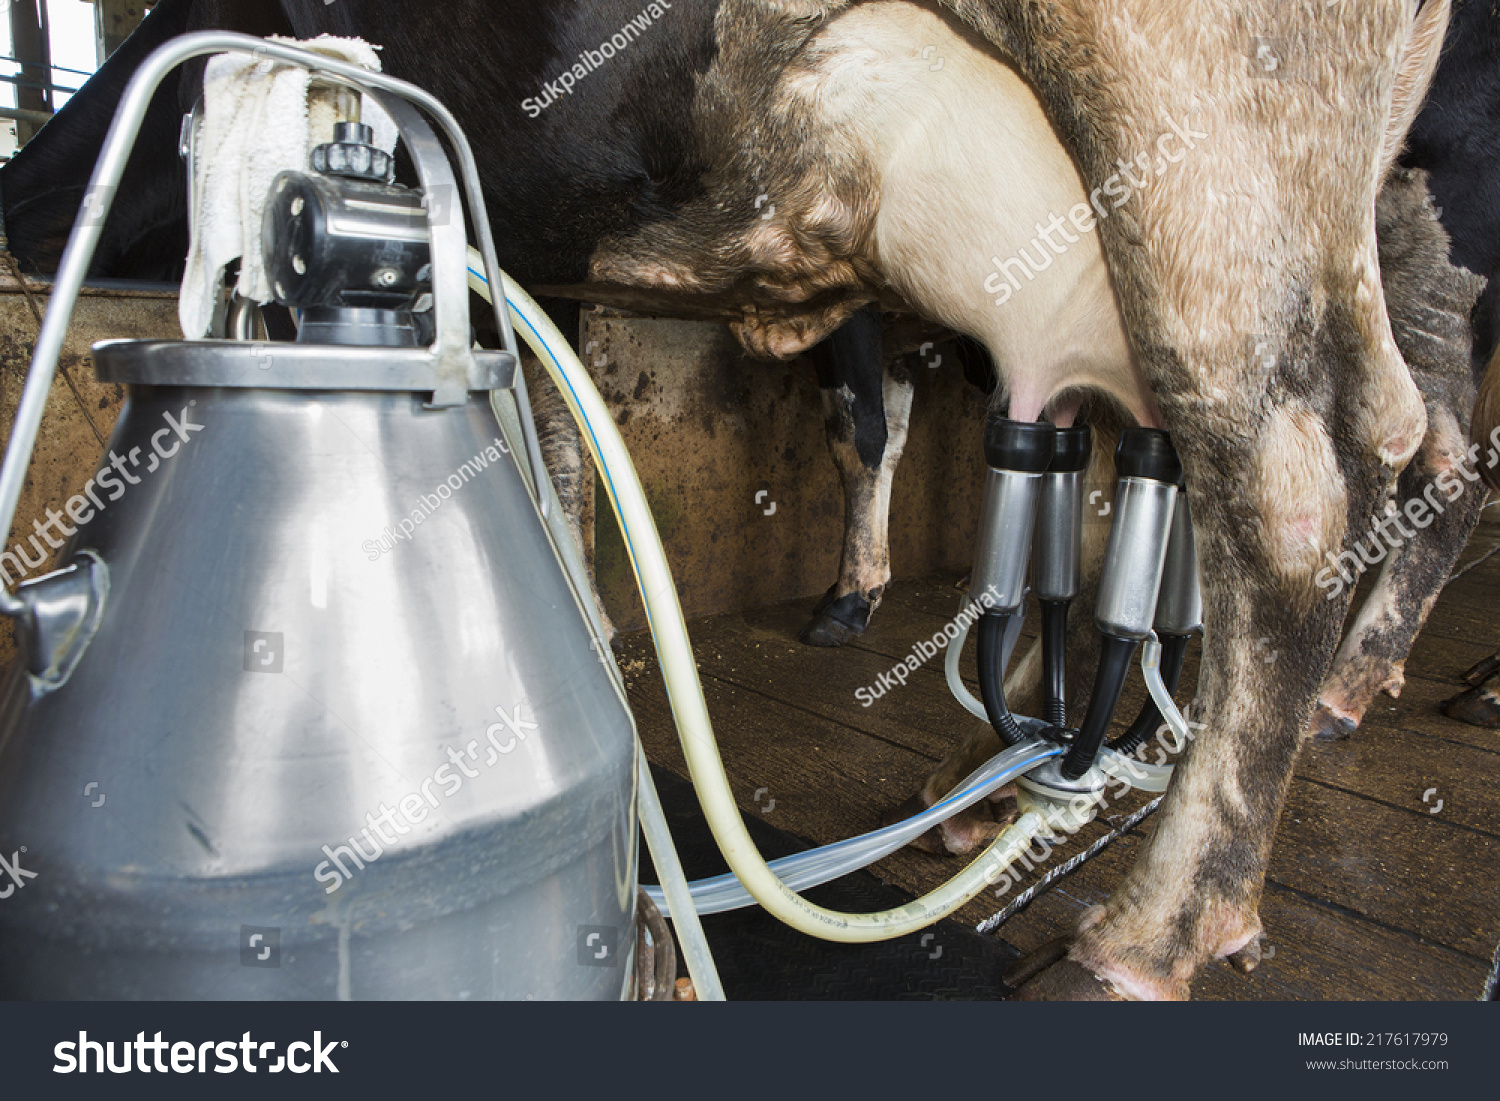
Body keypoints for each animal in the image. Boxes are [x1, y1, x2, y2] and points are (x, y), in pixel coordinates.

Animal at [0, 0, 1470, 1002]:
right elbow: (558, 459)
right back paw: (1013, 777)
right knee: (1308, 439)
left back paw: (1158, 925)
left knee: (1296, 482)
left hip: (1205, 136)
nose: (29, 212)